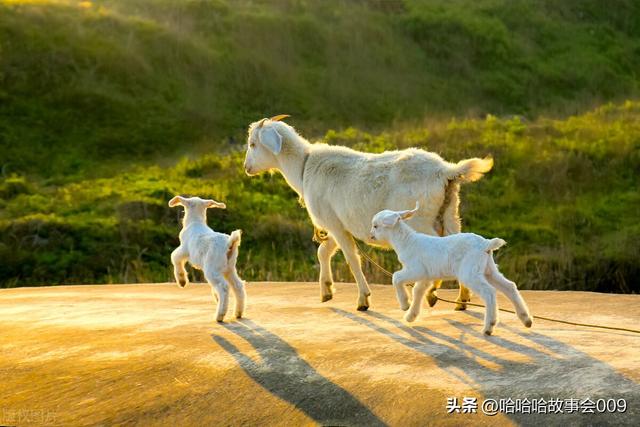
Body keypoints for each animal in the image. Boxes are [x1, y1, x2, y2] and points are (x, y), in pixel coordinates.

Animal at [242, 115, 492, 312]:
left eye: (253, 143)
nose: (246, 168)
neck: (304, 166)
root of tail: (445, 171)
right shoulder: (337, 224)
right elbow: (323, 252)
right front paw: (326, 291)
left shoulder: (334, 223)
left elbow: (352, 259)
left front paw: (363, 299)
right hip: (450, 214)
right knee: (456, 243)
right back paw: (461, 300)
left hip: (421, 219)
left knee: (436, 248)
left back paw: (433, 292)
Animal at [368, 202, 532, 336]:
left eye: (375, 226)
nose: (371, 236)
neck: (406, 241)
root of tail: (486, 244)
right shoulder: (426, 276)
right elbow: (418, 291)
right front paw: (410, 315)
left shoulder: (416, 269)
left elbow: (396, 277)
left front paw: (404, 304)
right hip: (488, 269)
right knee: (509, 286)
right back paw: (526, 319)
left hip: (470, 272)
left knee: (489, 292)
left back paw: (488, 327)